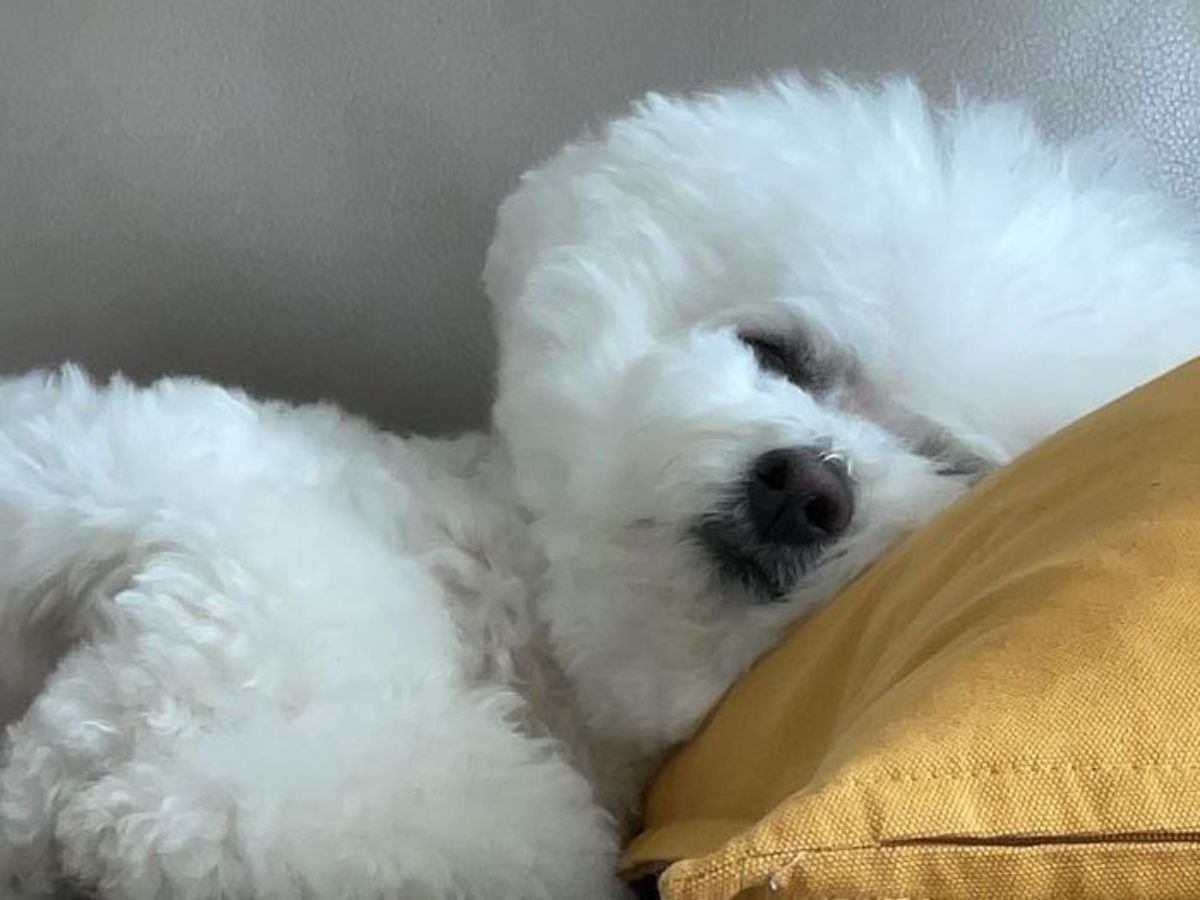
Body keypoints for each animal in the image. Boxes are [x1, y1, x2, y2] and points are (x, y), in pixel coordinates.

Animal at [2, 77, 1200, 900]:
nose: (806, 488)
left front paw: (145, 810)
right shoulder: (146, 451)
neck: (532, 629)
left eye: (953, 466)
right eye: (780, 354)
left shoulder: (506, 823)